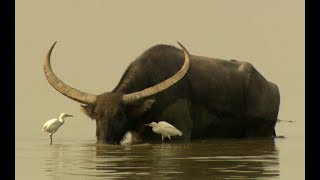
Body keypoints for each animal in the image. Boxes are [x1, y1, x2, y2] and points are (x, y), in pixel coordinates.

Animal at [43, 41, 280, 144]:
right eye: (97, 115)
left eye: (120, 114)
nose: (104, 142)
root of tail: (271, 87)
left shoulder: (182, 134)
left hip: (259, 132)